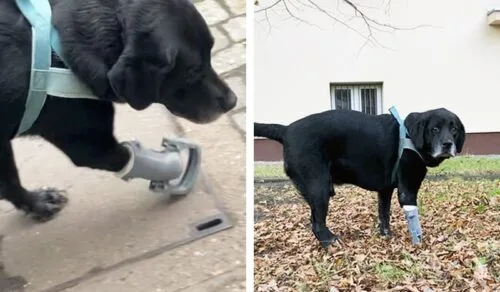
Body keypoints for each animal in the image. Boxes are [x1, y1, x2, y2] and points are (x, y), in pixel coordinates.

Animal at [256, 108, 466, 248]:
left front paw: (386, 235)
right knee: (316, 223)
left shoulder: (385, 191)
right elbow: (414, 223)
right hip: (319, 188)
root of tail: (286, 130)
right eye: (435, 129)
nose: (448, 144)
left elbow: (384, 214)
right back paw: (329, 241)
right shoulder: (408, 192)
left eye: (454, 128)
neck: (410, 135)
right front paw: (417, 242)